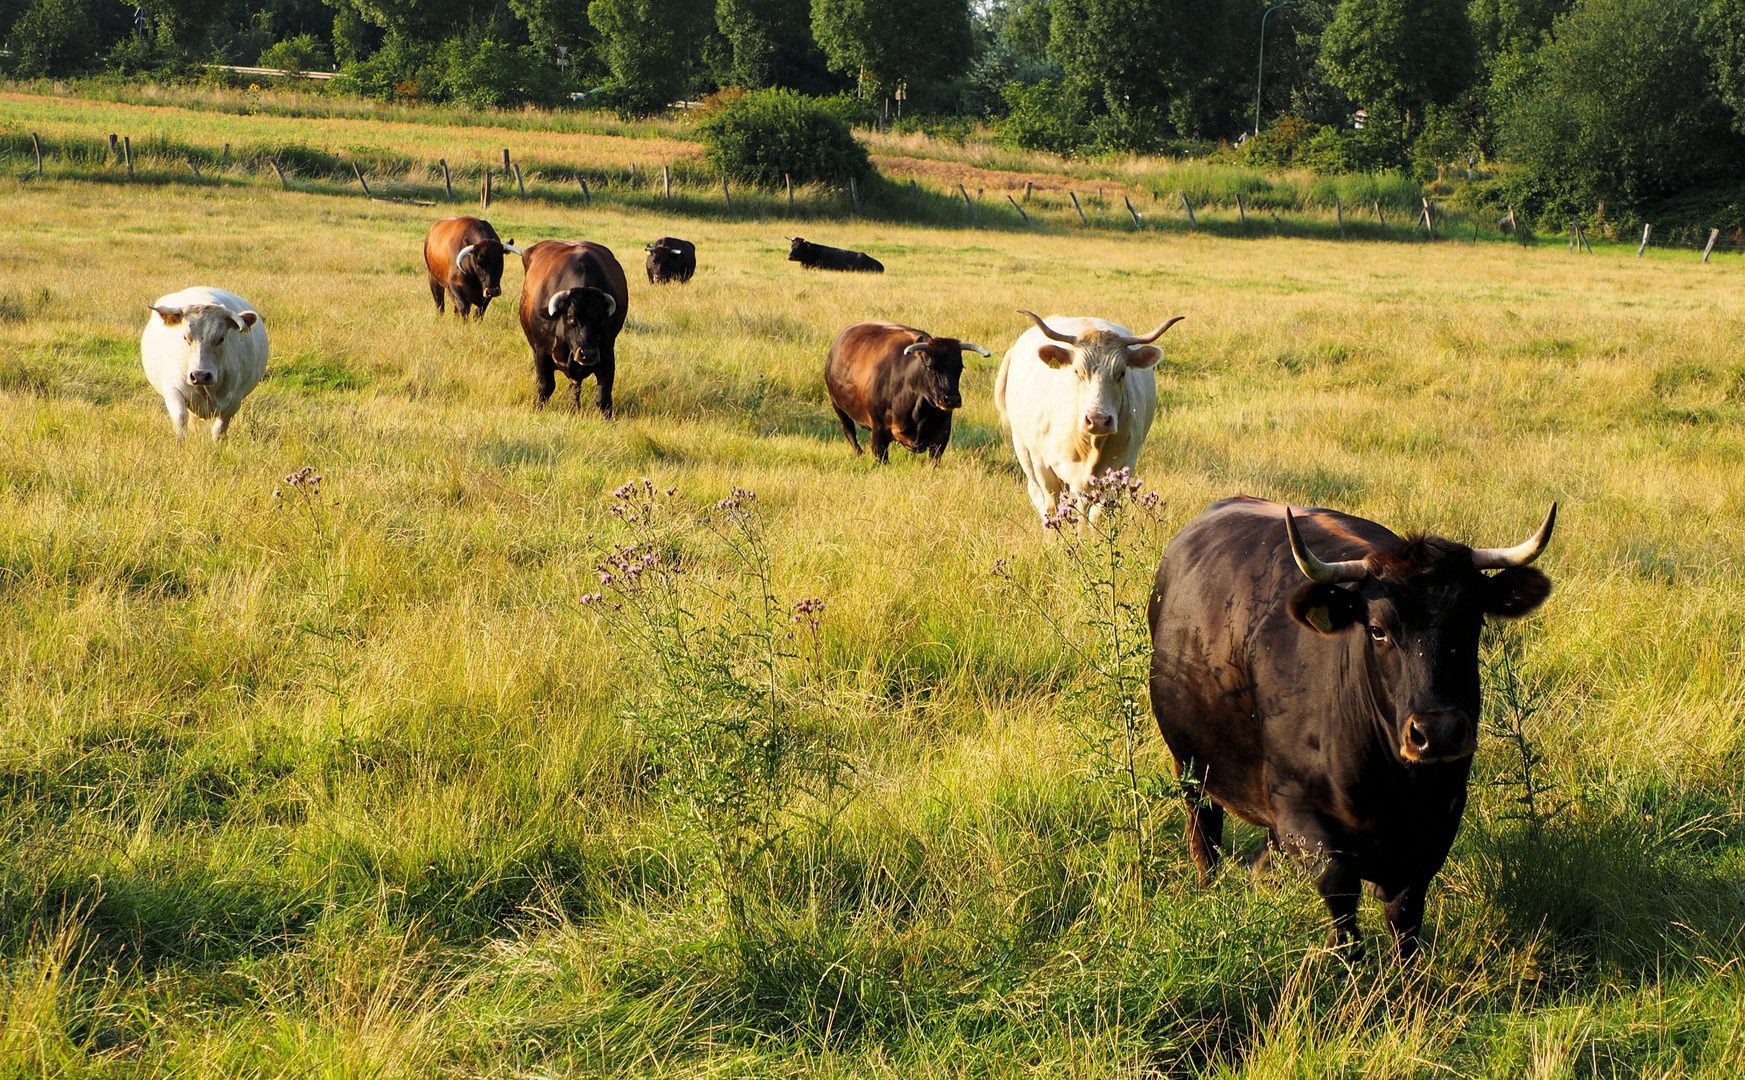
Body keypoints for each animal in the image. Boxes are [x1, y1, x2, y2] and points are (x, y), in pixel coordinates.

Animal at [141, 289, 268, 441]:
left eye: (221, 338)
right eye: (185, 337)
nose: (200, 375)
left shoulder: (235, 400)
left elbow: (219, 429)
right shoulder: (173, 390)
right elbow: (181, 418)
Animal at [513, 240, 631, 418]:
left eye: (601, 318)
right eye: (570, 317)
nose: (587, 354)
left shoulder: (607, 354)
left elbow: (603, 396)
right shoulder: (541, 352)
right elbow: (545, 387)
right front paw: (537, 410)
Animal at [823, 321, 991, 464]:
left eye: (959, 367)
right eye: (930, 367)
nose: (951, 399)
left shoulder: (942, 435)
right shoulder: (878, 432)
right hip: (838, 406)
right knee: (849, 432)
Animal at [998, 308, 1186, 523]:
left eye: (1122, 373)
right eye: (1077, 371)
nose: (1098, 420)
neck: (1089, 446)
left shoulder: (1122, 466)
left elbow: (1096, 515)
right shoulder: (1042, 464)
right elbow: (1052, 506)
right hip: (1023, 447)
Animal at [1144, 498, 1556, 963]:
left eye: (1473, 626)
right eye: (1377, 630)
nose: (1438, 731)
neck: (1395, 785)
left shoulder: (1442, 816)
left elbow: (1405, 910)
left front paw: (1406, 974)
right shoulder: (1299, 809)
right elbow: (1339, 891)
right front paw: (1343, 959)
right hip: (1191, 765)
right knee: (1204, 833)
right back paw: (1209, 887)